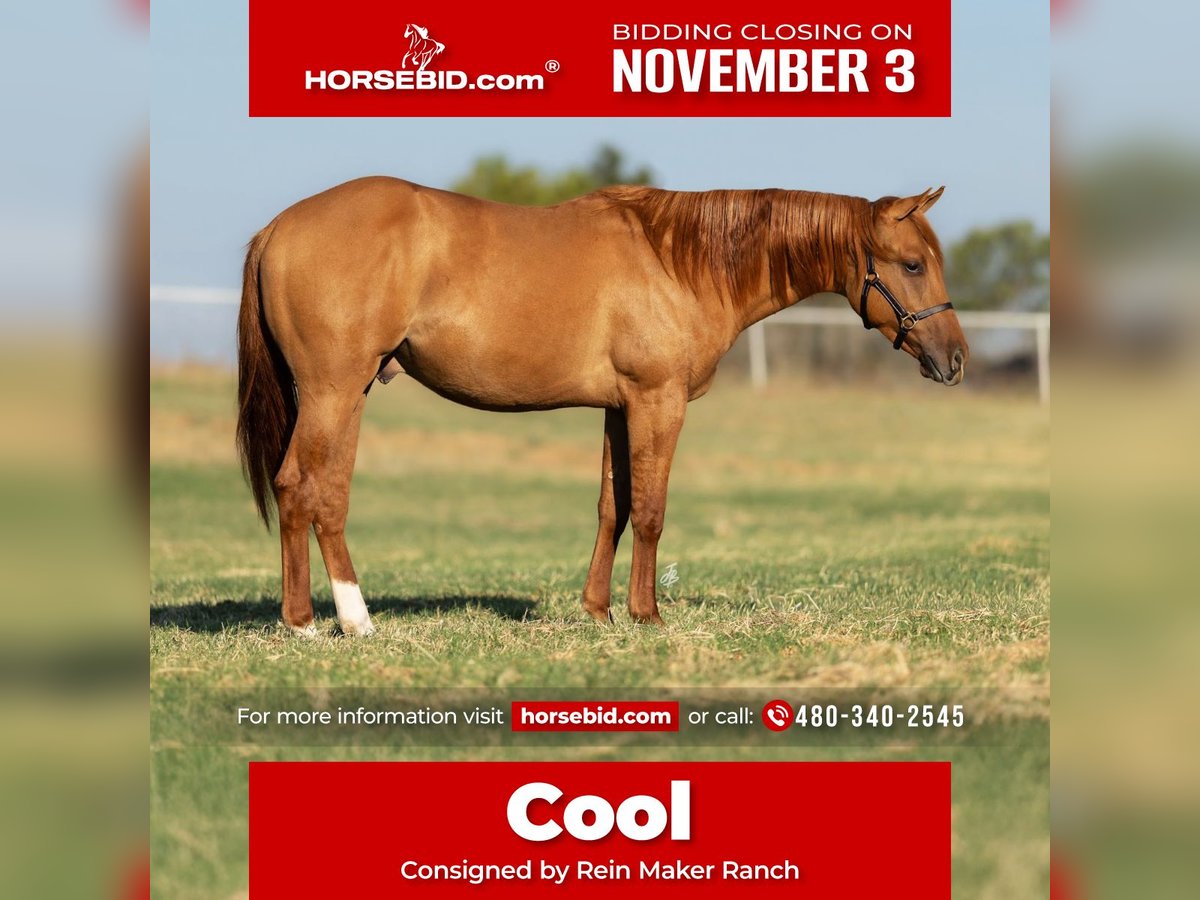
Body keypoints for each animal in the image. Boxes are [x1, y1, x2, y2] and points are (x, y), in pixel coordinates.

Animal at [236, 178, 968, 635]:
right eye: (910, 264)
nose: (956, 359)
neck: (680, 261)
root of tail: (276, 228)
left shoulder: (620, 407)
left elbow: (611, 506)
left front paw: (598, 611)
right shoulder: (658, 400)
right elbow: (649, 510)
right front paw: (647, 615)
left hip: (345, 393)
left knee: (312, 492)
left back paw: (326, 619)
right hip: (333, 392)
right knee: (305, 489)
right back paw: (325, 622)